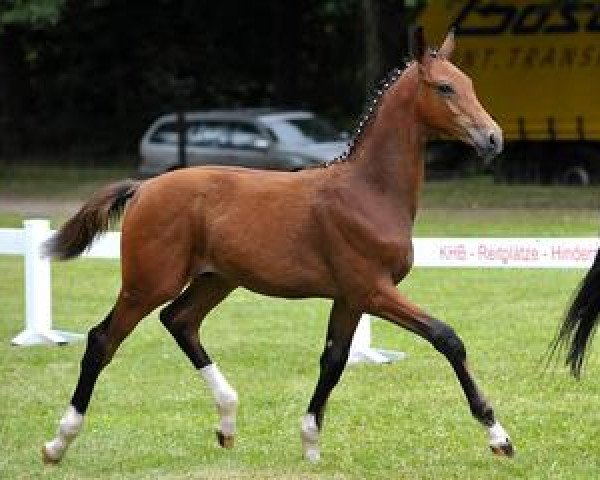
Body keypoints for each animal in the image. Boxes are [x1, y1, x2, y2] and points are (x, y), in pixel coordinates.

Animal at [42, 28, 512, 464]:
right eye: (445, 87)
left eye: (468, 83)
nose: (493, 139)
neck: (369, 190)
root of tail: (143, 188)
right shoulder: (373, 289)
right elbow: (447, 337)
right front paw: (498, 436)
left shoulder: (349, 297)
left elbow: (333, 361)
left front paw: (310, 444)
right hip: (148, 283)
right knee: (103, 340)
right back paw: (57, 443)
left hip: (217, 279)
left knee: (180, 321)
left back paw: (227, 421)